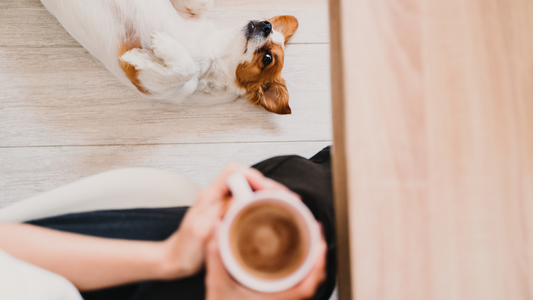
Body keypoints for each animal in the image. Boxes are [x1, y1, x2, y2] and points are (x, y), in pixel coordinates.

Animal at [39, 0, 300, 114]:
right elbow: (204, 5)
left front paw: (158, 46)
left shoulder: (143, 81)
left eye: (267, 59)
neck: (212, 49)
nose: (267, 25)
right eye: (270, 27)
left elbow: (186, 71)